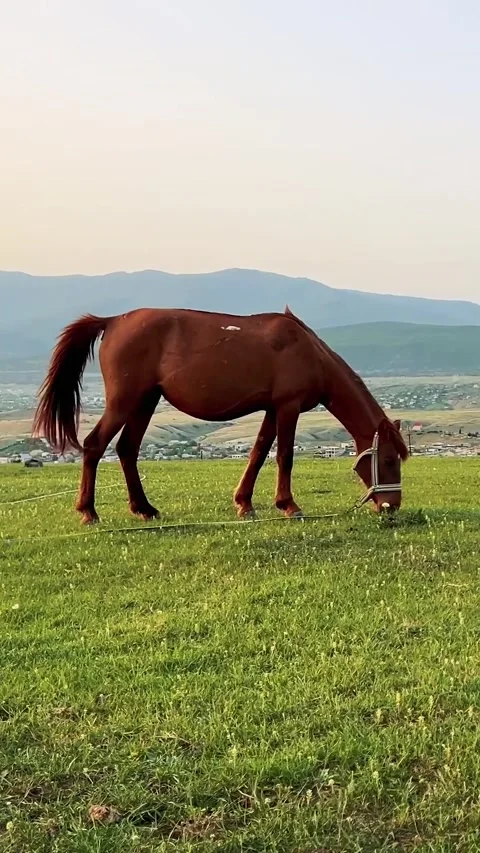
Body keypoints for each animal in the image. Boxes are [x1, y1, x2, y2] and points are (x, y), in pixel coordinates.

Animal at [32, 306, 409, 525]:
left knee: (127, 449)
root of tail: (112, 322)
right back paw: (88, 512)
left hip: (145, 401)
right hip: (125, 401)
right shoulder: (287, 407)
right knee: (95, 445)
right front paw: (288, 505)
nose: (391, 506)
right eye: (389, 459)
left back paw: (144, 508)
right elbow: (284, 456)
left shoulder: (271, 409)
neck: (309, 352)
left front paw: (244, 503)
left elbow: (258, 452)